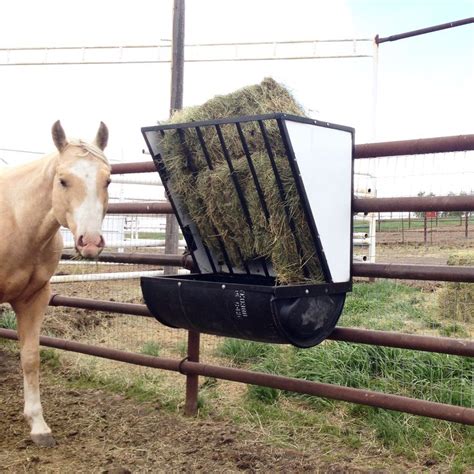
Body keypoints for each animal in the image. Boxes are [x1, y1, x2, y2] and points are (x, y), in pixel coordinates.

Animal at [0, 121, 110, 444]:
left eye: (108, 181)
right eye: (63, 181)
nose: (90, 242)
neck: (16, 221)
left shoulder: (34, 298)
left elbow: (30, 357)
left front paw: (38, 424)